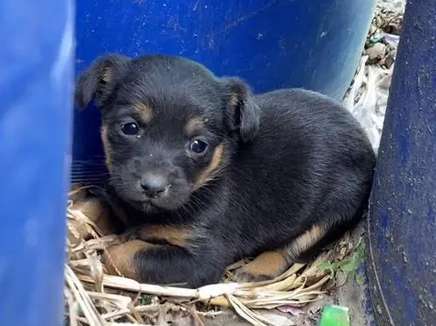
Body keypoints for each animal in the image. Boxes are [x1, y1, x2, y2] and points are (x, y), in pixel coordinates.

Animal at [76, 54, 374, 288]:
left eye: (198, 145)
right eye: (129, 128)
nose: (152, 187)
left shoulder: (203, 259)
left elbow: (122, 255)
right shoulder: (120, 198)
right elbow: (92, 208)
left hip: (334, 211)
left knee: (294, 248)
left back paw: (257, 269)